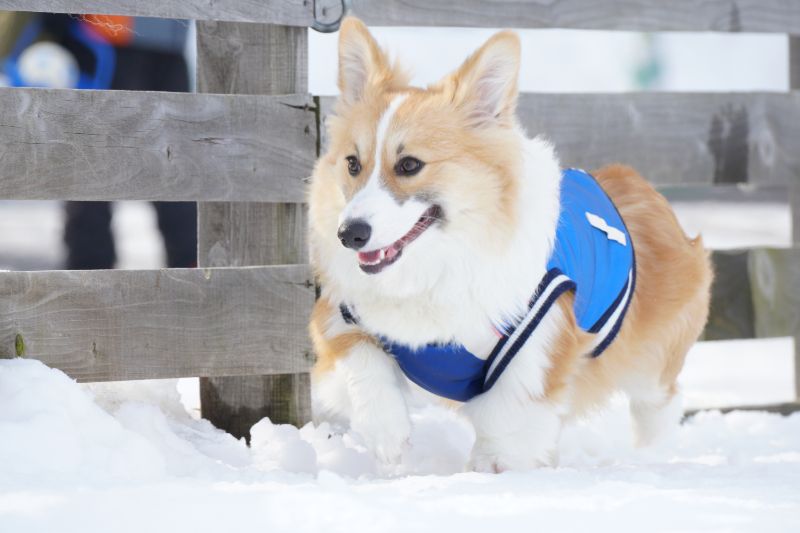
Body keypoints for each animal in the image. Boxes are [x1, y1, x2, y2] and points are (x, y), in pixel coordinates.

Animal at [306, 17, 712, 470]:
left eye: (409, 164)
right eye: (352, 164)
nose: (349, 234)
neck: (436, 265)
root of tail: (639, 186)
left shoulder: (537, 347)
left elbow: (508, 426)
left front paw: (493, 472)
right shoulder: (339, 319)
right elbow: (362, 361)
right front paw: (387, 436)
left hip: (650, 358)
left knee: (659, 402)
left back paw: (651, 454)